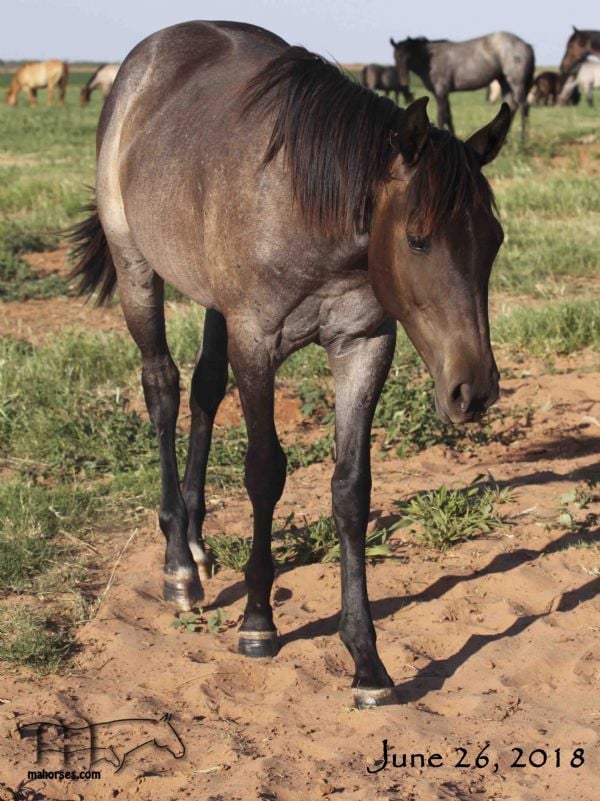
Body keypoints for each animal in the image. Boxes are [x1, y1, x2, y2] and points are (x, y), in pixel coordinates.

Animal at [70, 18, 510, 708]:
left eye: (493, 240)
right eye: (418, 239)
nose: (475, 391)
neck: (311, 206)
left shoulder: (363, 344)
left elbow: (351, 490)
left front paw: (366, 660)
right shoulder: (257, 344)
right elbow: (264, 472)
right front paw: (257, 621)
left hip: (213, 303)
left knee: (203, 391)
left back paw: (195, 543)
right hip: (137, 268)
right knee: (163, 388)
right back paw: (178, 566)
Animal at [390, 33, 536, 140]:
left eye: (408, 56)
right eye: (395, 57)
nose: (403, 81)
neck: (430, 59)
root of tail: (526, 45)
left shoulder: (441, 91)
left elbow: (441, 116)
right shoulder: (443, 93)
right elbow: (448, 116)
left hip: (516, 82)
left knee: (523, 107)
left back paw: (523, 140)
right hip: (504, 82)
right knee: (512, 105)